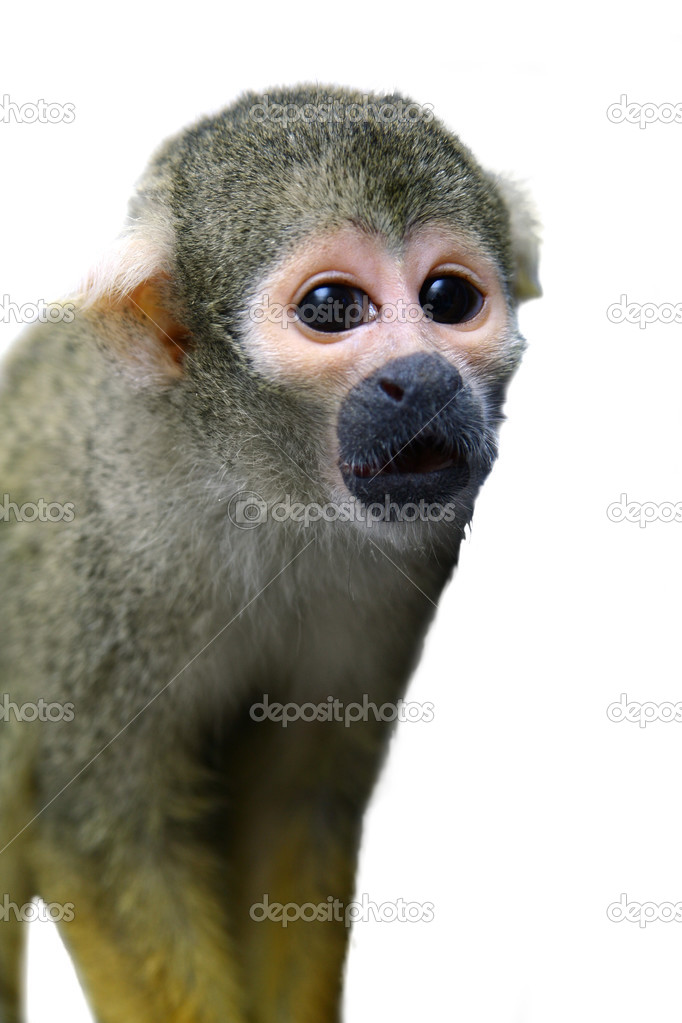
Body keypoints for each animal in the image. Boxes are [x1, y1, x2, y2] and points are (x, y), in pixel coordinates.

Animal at [1, 85, 543, 1023]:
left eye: (447, 297)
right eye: (332, 308)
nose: (425, 379)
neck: (260, 489)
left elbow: (294, 805)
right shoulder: (95, 572)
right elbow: (101, 832)